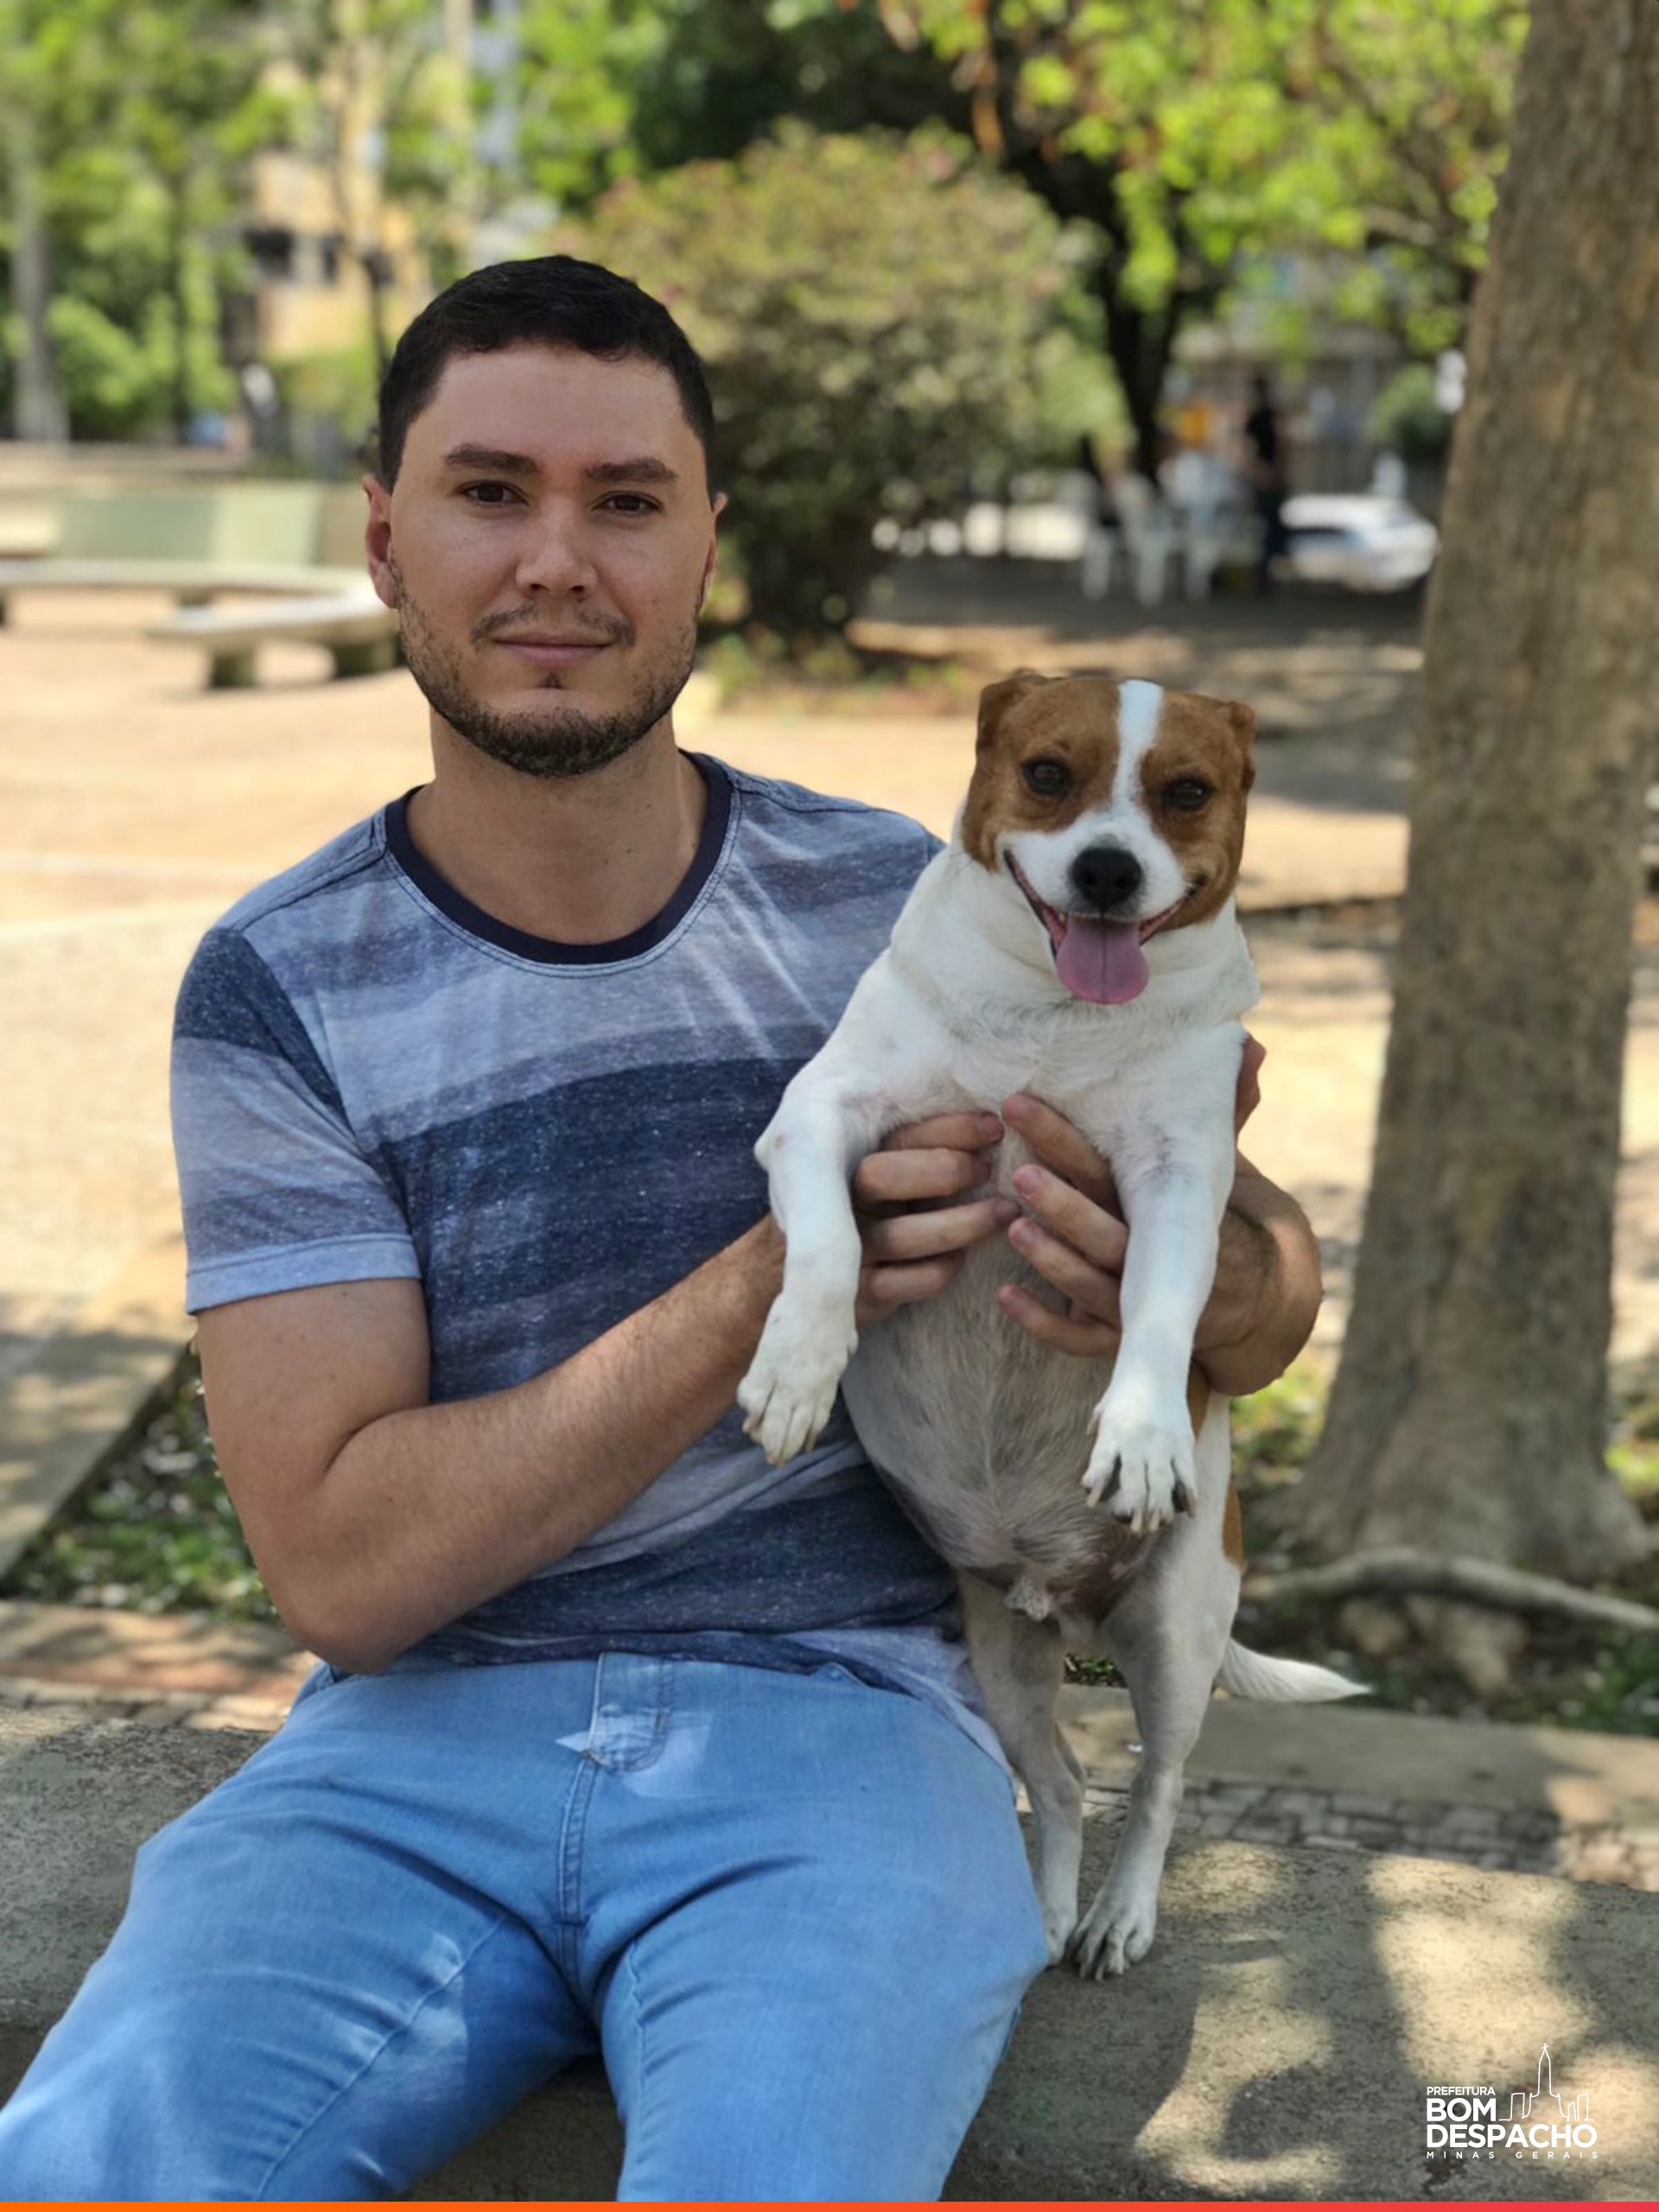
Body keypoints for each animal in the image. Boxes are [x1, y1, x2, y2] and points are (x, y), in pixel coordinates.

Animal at [737, 670, 1357, 1977]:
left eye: (1186, 792)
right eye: (1048, 774)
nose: (1110, 871)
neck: (1052, 1016)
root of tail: (1055, 1596)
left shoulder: (1178, 1181)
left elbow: (1160, 1314)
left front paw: (1143, 1433)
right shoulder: (824, 1114)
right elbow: (828, 1247)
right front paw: (799, 1367)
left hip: (1173, 1633)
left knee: (1159, 1784)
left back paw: (1118, 1914)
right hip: (1002, 1664)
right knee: (1065, 1781)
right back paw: (1049, 1908)